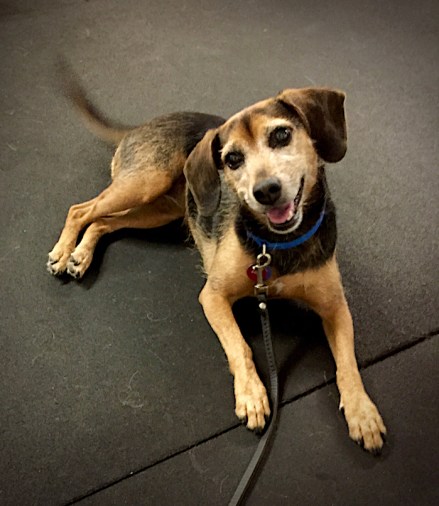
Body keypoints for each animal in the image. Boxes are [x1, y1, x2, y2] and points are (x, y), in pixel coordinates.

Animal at [46, 62, 386, 450]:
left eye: (281, 135)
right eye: (232, 159)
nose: (266, 191)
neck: (276, 244)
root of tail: (141, 125)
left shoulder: (335, 307)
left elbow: (348, 364)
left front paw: (362, 412)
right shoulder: (213, 296)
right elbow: (240, 347)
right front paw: (252, 395)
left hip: (161, 208)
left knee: (103, 222)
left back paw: (81, 256)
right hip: (144, 183)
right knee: (80, 209)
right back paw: (63, 253)